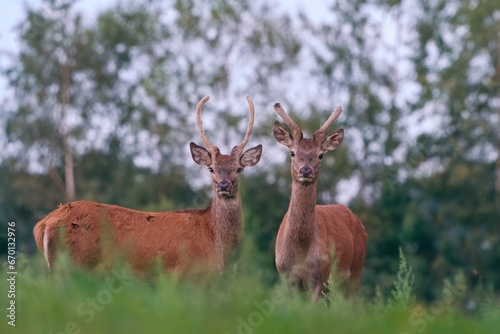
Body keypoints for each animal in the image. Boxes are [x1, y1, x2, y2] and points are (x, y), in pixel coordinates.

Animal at [33, 96, 264, 276]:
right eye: (211, 169)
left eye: (239, 169)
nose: (224, 185)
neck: (217, 243)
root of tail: (43, 224)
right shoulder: (187, 277)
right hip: (71, 266)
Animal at [274, 102, 368, 300]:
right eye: (292, 152)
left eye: (320, 155)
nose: (306, 170)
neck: (301, 250)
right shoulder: (287, 277)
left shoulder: (321, 277)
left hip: (355, 272)